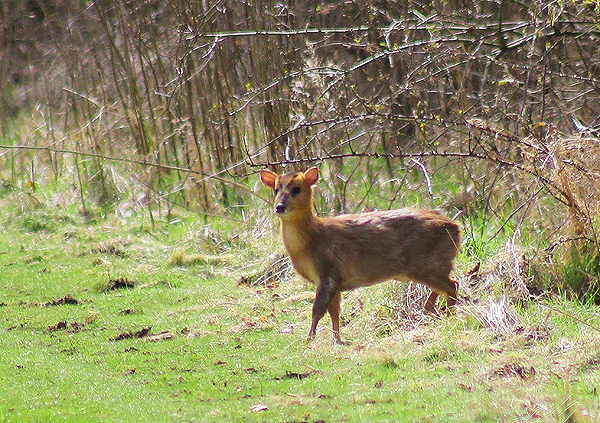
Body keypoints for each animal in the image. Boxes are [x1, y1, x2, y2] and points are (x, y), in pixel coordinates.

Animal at [260, 166, 462, 344]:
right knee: (443, 289)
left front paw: (309, 340)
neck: (309, 242)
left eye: (296, 189)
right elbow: (335, 312)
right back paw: (436, 312)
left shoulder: (328, 272)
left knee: (452, 285)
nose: (279, 207)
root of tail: (457, 228)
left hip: (427, 263)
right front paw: (337, 339)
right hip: (429, 266)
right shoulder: (335, 280)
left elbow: (317, 311)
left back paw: (451, 316)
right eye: (276, 189)